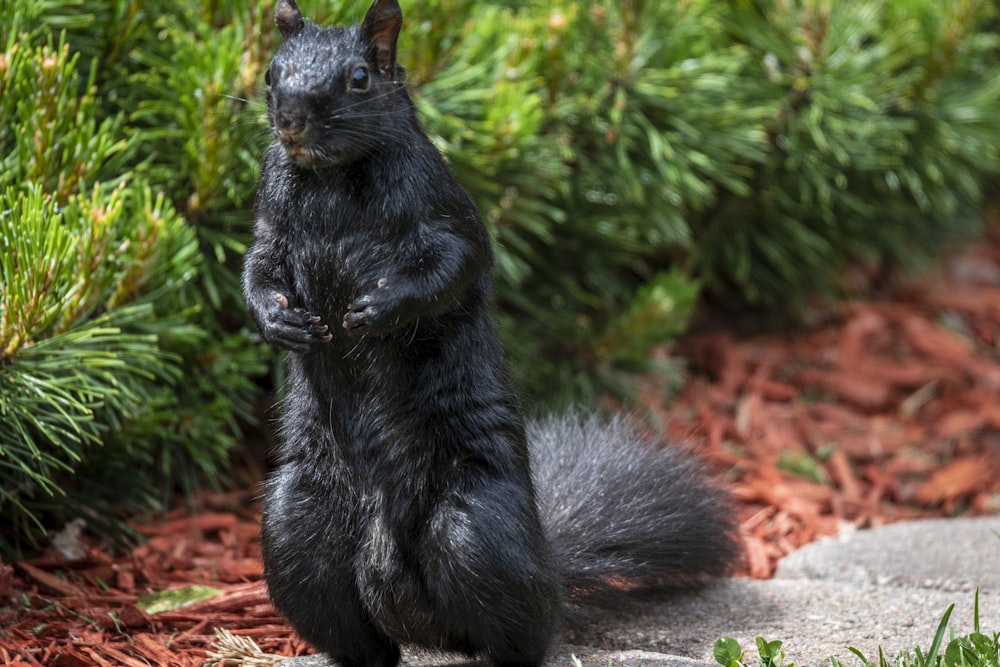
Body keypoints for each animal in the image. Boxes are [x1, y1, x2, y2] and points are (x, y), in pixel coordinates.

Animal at [242, 1, 740, 667]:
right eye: (272, 74)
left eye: (359, 79)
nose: (290, 120)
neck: (333, 179)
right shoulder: (271, 221)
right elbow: (257, 270)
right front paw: (279, 321)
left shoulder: (444, 209)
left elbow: (454, 266)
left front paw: (377, 309)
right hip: (296, 532)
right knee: (359, 634)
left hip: (472, 530)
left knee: (522, 632)